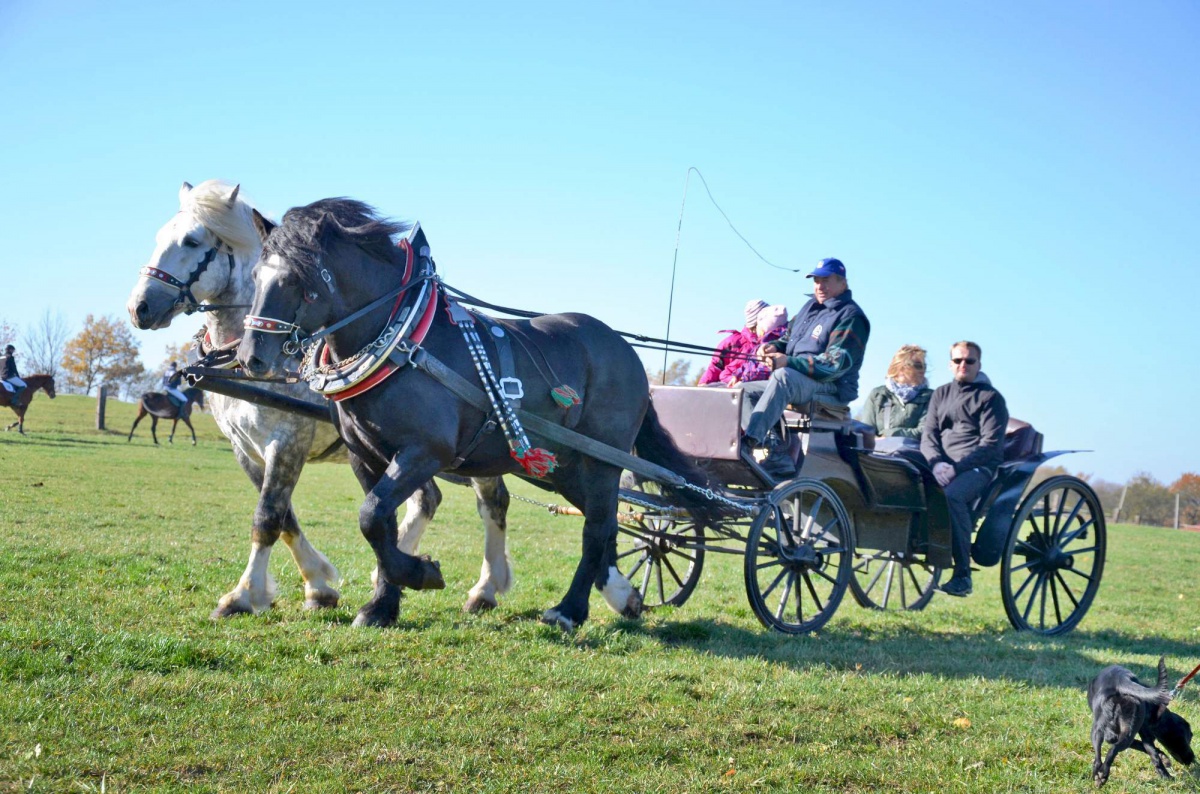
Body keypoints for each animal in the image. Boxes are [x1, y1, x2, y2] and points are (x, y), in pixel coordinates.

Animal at [126, 181, 512, 624]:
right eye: (160, 236)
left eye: (191, 240)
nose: (139, 306)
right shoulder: (246, 449)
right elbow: (286, 518)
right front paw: (318, 585)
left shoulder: (288, 440)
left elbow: (268, 517)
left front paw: (243, 595)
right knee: (427, 499)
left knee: (492, 503)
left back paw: (485, 589)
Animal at [238, 198, 721, 630]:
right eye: (256, 276)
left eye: (296, 278)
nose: (250, 357)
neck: (403, 340)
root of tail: (626, 351)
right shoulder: (366, 457)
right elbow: (381, 525)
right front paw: (381, 607)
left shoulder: (424, 452)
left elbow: (371, 517)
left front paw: (421, 574)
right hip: (564, 467)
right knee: (608, 522)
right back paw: (622, 596)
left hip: (601, 460)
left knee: (598, 528)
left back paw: (569, 610)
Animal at [1088, 657, 1195, 785]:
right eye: (1188, 738)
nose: (1192, 759)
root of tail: (1120, 679)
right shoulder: (1143, 736)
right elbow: (1151, 753)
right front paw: (1164, 762)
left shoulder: (1124, 735)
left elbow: (1147, 750)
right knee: (1106, 754)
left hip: (1106, 731)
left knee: (1105, 755)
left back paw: (1100, 776)